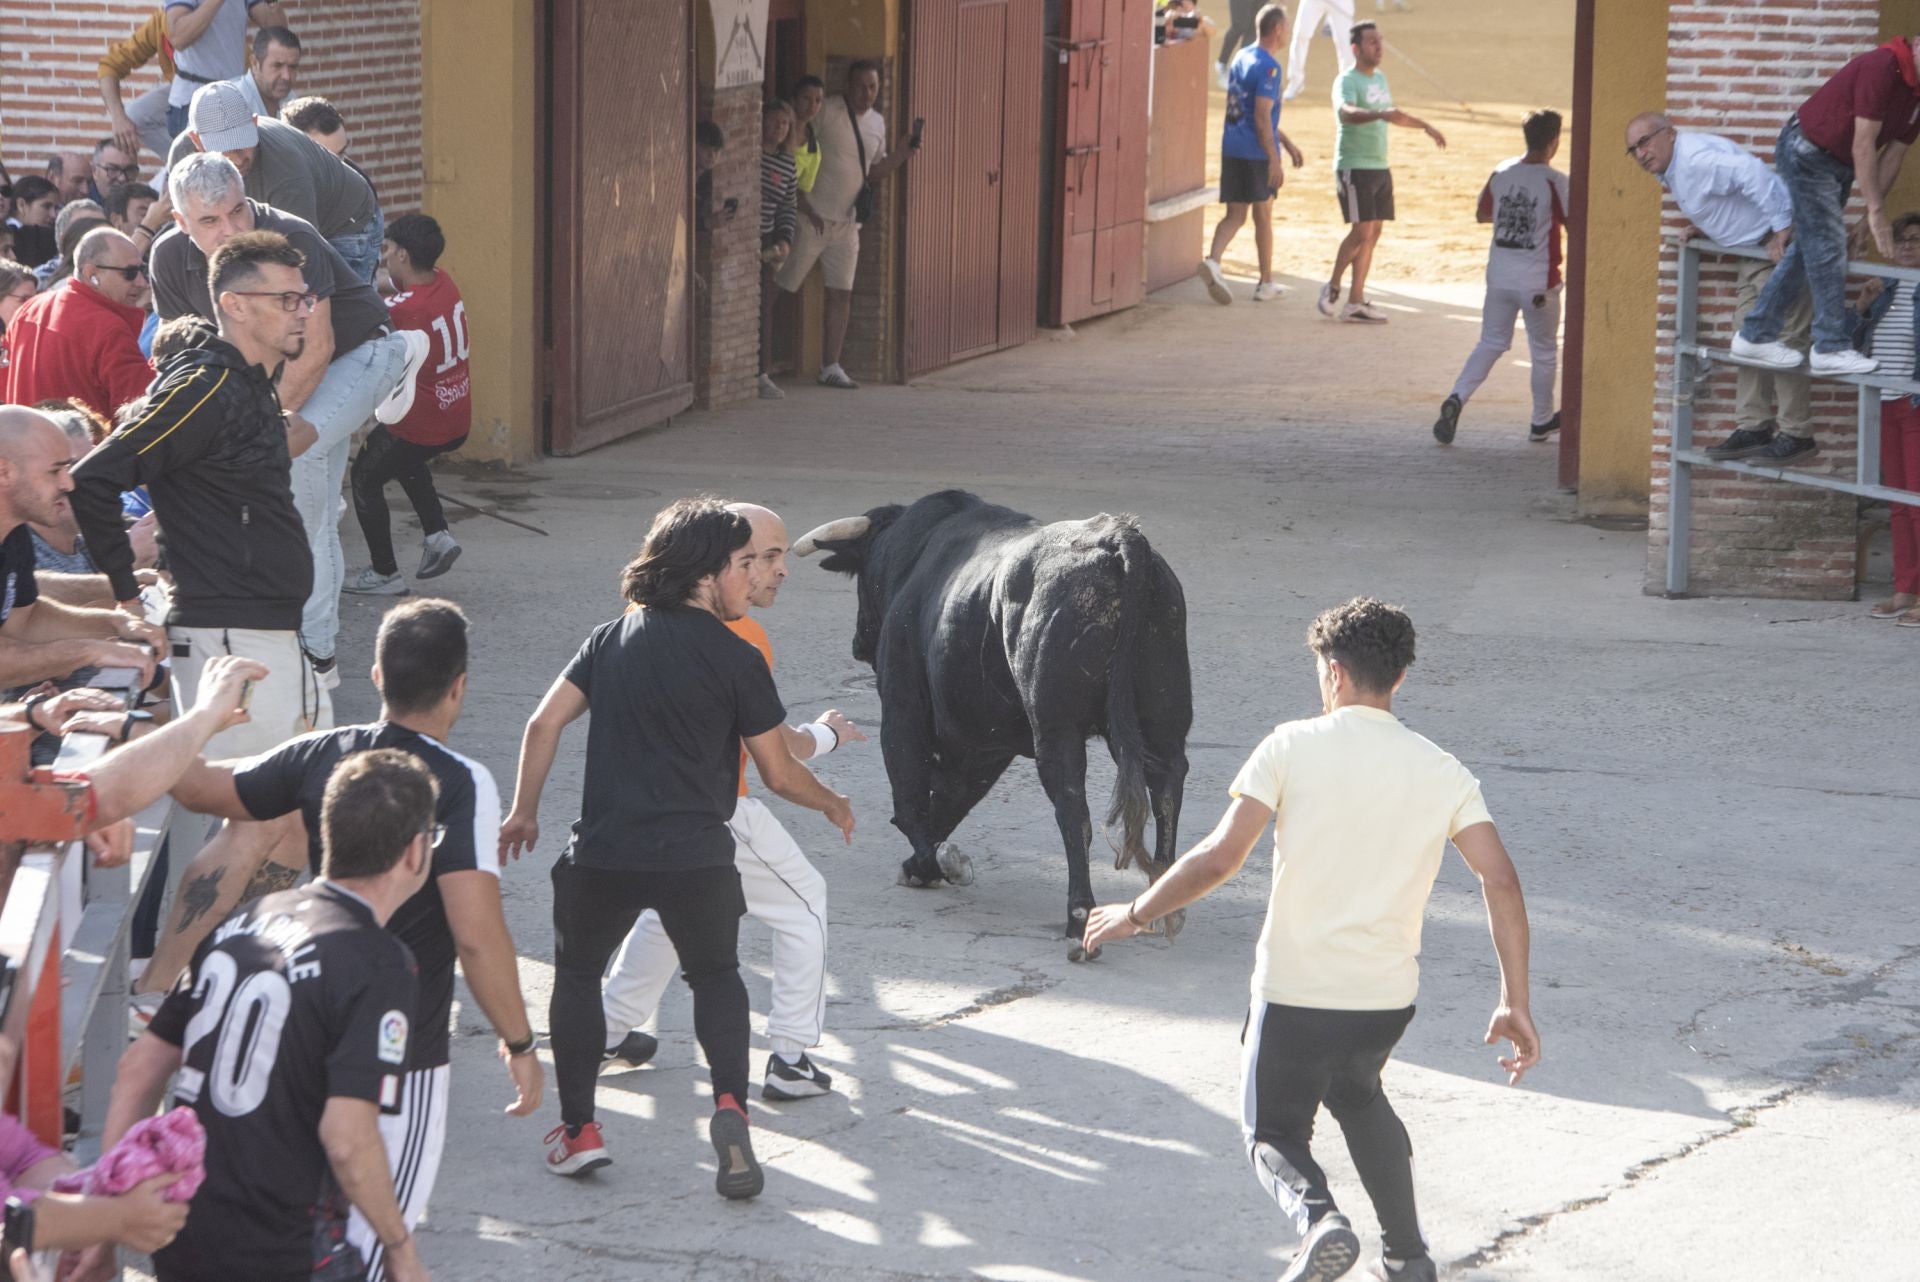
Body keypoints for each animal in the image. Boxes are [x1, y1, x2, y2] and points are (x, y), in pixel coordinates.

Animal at [791, 491, 1182, 951]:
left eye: (863, 574)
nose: (858, 641)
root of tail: (1116, 538)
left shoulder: (904, 708)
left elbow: (911, 798)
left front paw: (935, 864)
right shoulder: (983, 740)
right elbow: (950, 799)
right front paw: (927, 864)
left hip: (1056, 731)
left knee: (1073, 808)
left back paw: (1079, 920)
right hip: (1163, 723)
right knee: (1167, 787)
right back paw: (1166, 904)